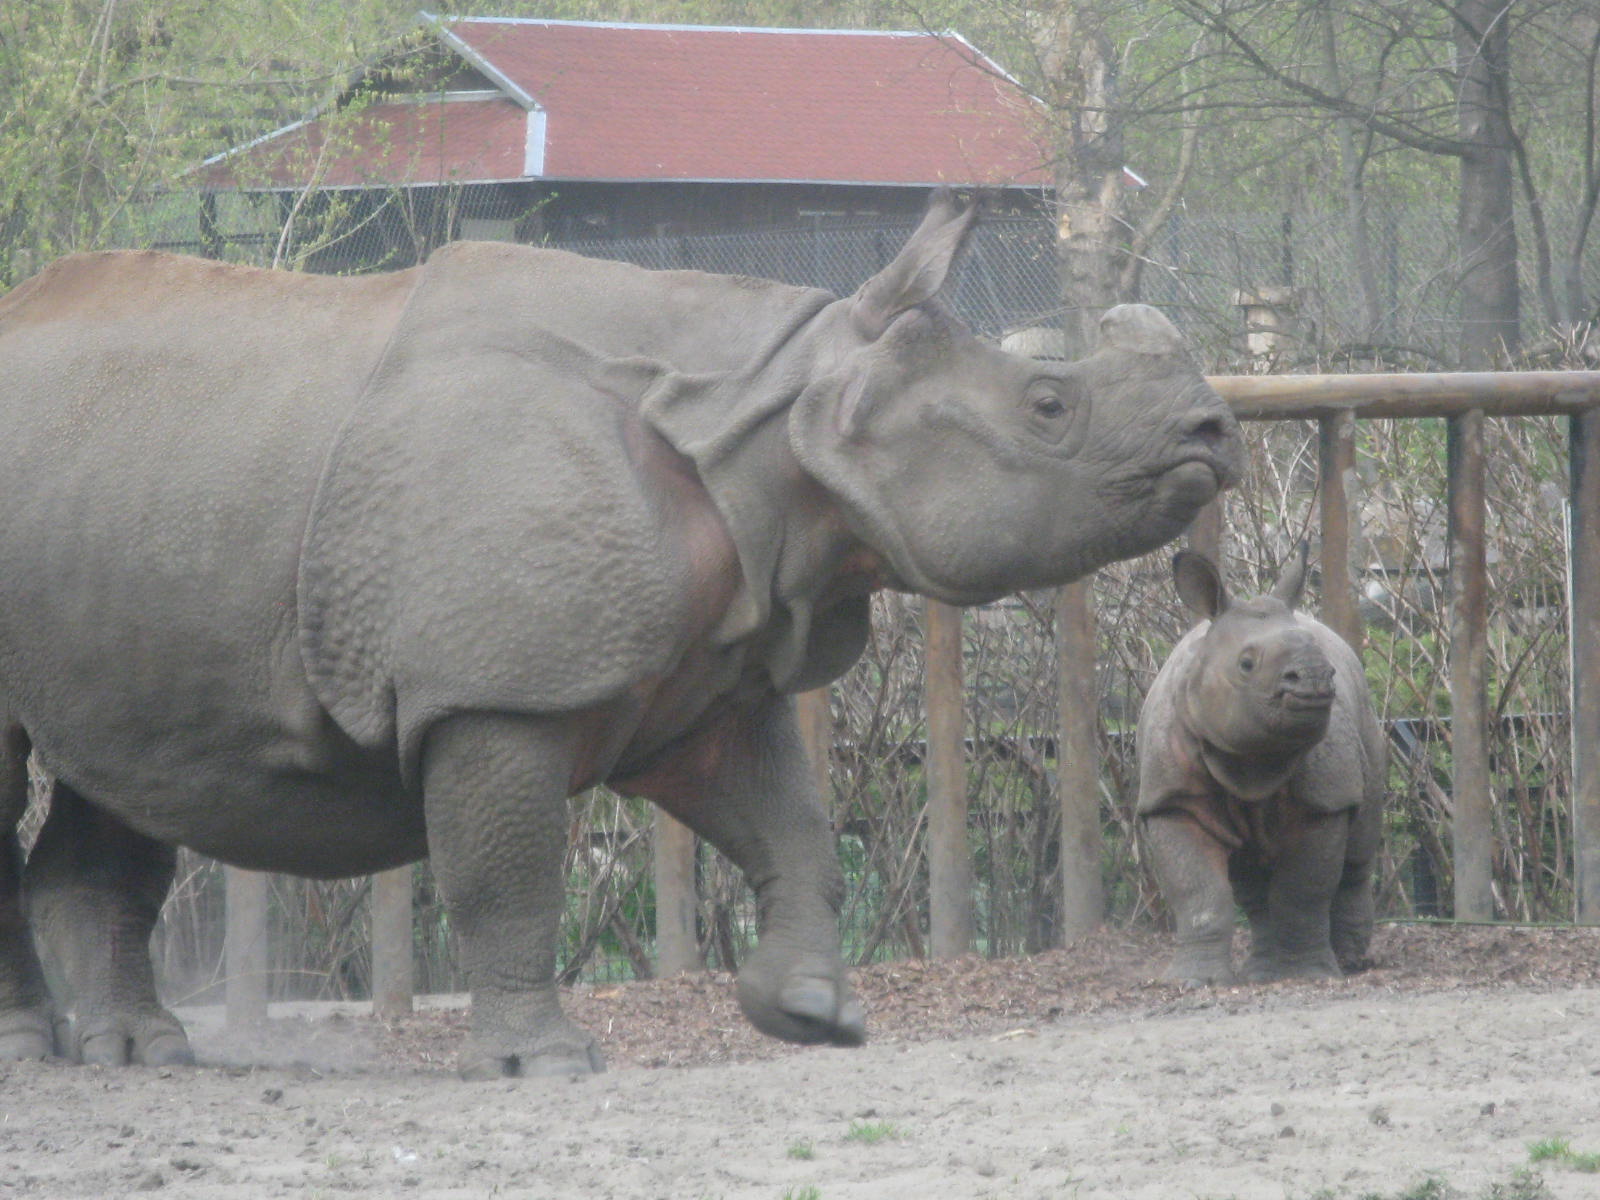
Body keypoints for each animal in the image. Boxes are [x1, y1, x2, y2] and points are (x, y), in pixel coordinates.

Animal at [0, 191, 1241, 1078]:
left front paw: (812, 1014)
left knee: (127, 764)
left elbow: (792, 828)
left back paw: (141, 1055)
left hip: (129, 500)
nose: (1215, 432)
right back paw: (38, 1056)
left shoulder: (710, 681)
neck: (777, 406)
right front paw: (543, 1065)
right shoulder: (497, 694)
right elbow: (509, 876)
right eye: (1048, 407)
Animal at [1137, 546, 1385, 985]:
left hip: (1367, 722)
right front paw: (1192, 980)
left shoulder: (1324, 800)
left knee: (1358, 851)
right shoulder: (1170, 797)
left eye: (1326, 667)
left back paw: (1350, 961)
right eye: (1246, 664)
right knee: (1249, 882)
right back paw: (1262, 972)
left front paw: (1307, 975)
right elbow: (1197, 892)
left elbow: (1303, 891)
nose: (1316, 676)